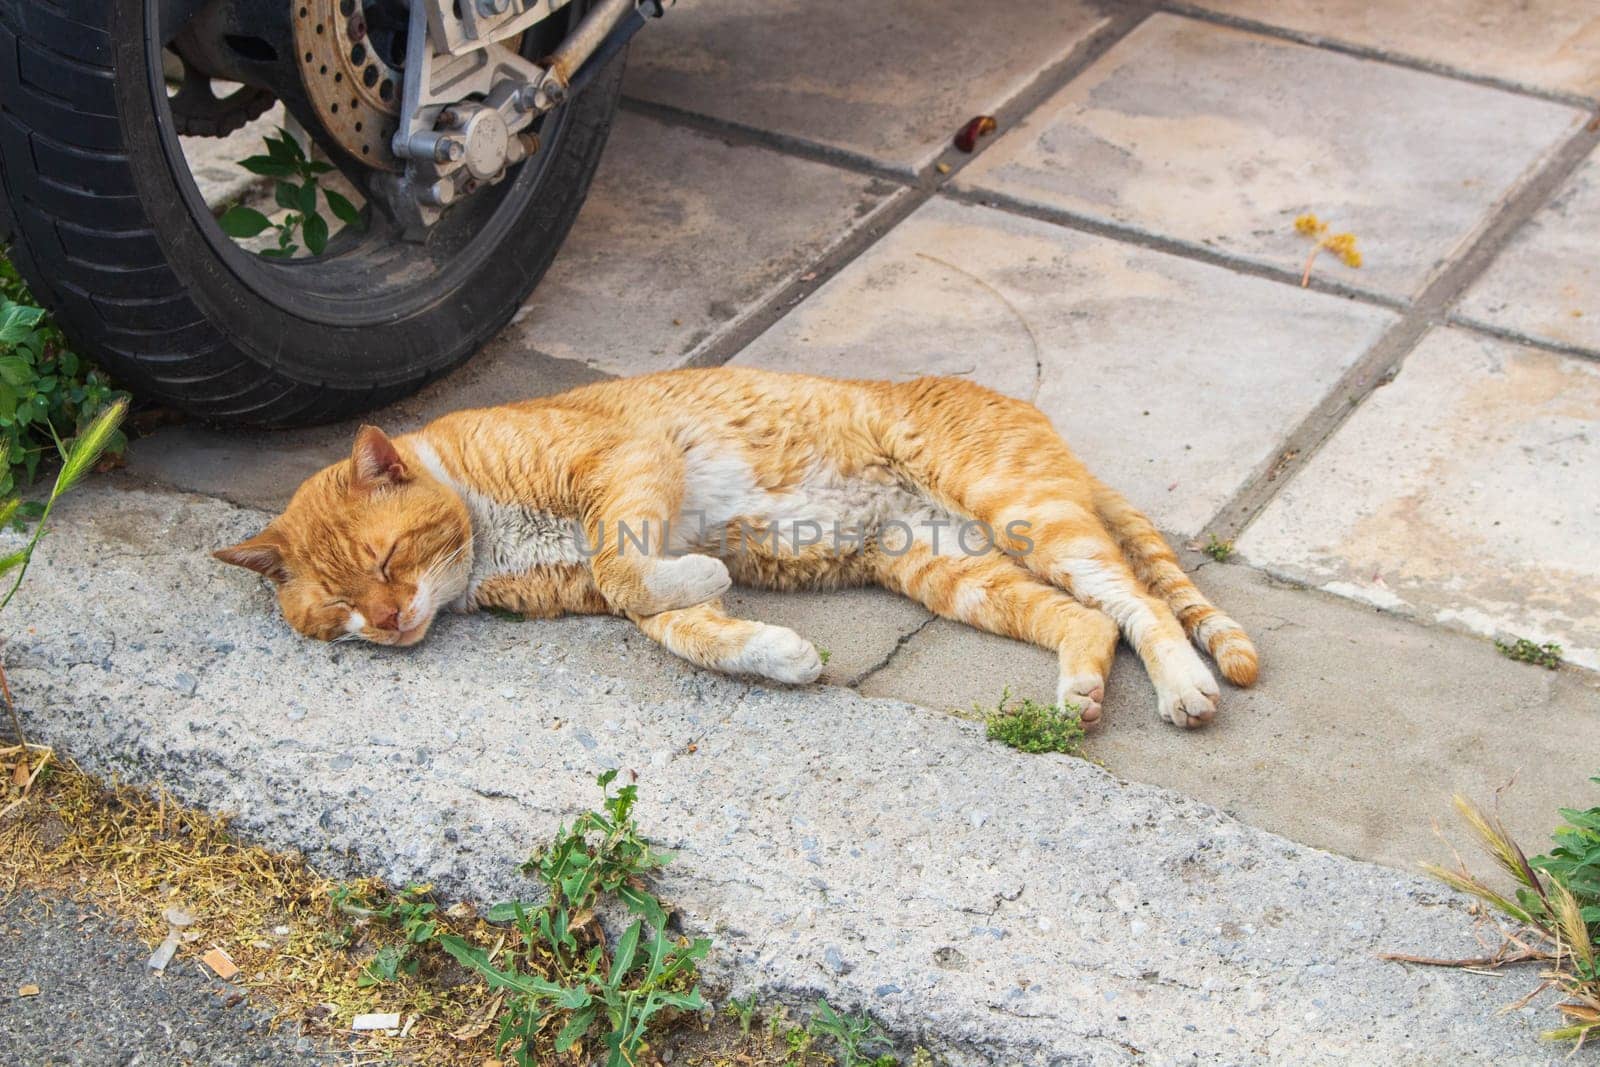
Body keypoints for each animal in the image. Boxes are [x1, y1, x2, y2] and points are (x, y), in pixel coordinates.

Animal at [219, 367, 1254, 726]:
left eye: (388, 561)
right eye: (341, 609)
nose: (392, 621)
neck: (488, 535)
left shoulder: (626, 466)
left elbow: (626, 565)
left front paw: (718, 571)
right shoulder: (618, 588)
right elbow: (678, 618)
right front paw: (782, 655)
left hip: (1023, 507)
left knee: (1140, 604)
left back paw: (1184, 688)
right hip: (947, 570)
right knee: (1088, 621)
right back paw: (1080, 691)